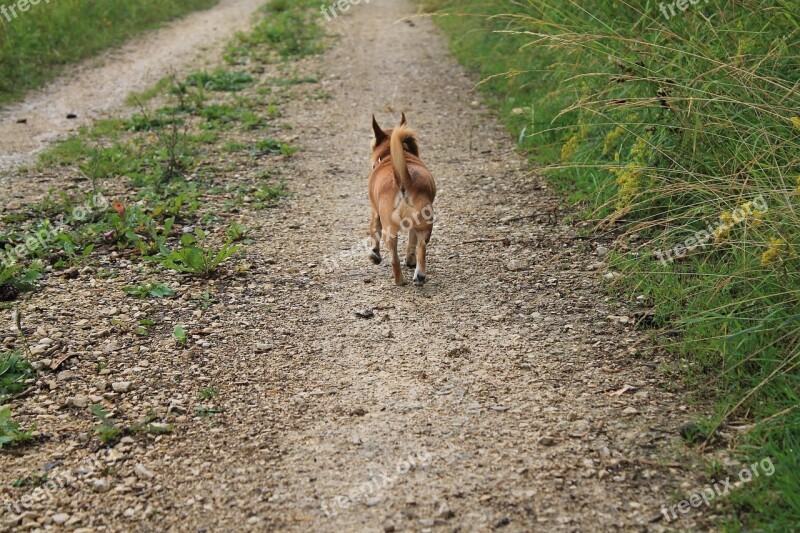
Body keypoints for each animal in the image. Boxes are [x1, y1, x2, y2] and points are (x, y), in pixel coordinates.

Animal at [368, 114, 438, 284]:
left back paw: (399, 281)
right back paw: (419, 275)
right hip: (423, 225)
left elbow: (373, 233)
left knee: (395, 258)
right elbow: (411, 243)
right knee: (420, 247)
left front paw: (374, 255)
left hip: (391, 229)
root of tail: (404, 180)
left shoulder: (375, 213)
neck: (388, 155)